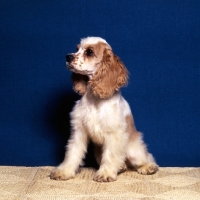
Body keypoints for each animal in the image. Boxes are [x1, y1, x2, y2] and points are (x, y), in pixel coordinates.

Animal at [49, 36, 158, 182]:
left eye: (89, 52)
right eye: (77, 49)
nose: (68, 57)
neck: (95, 98)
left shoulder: (114, 134)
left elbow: (110, 155)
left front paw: (105, 174)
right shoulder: (79, 131)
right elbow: (72, 153)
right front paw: (64, 171)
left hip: (133, 150)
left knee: (145, 157)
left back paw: (148, 167)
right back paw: (121, 167)